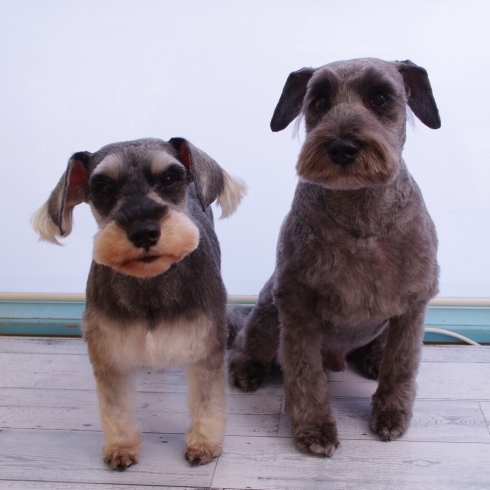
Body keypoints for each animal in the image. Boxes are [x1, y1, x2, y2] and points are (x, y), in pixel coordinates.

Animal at [31, 137, 245, 470]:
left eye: (169, 178)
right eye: (103, 187)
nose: (144, 231)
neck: (150, 282)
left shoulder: (205, 346)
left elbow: (207, 401)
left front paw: (204, 443)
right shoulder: (108, 353)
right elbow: (115, 406)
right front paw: (121, 447)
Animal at [229, 59, 440, 458]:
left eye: (381, 98)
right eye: (318, 102)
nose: (342, 147)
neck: (361, 214)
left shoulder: (412, 307)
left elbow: (401, 366)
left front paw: (392, 414)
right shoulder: (297, 310)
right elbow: (304, 375)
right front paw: (314, 429)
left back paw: (373, 359)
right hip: (267, 318)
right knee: (247, 343)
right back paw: (246, 369)